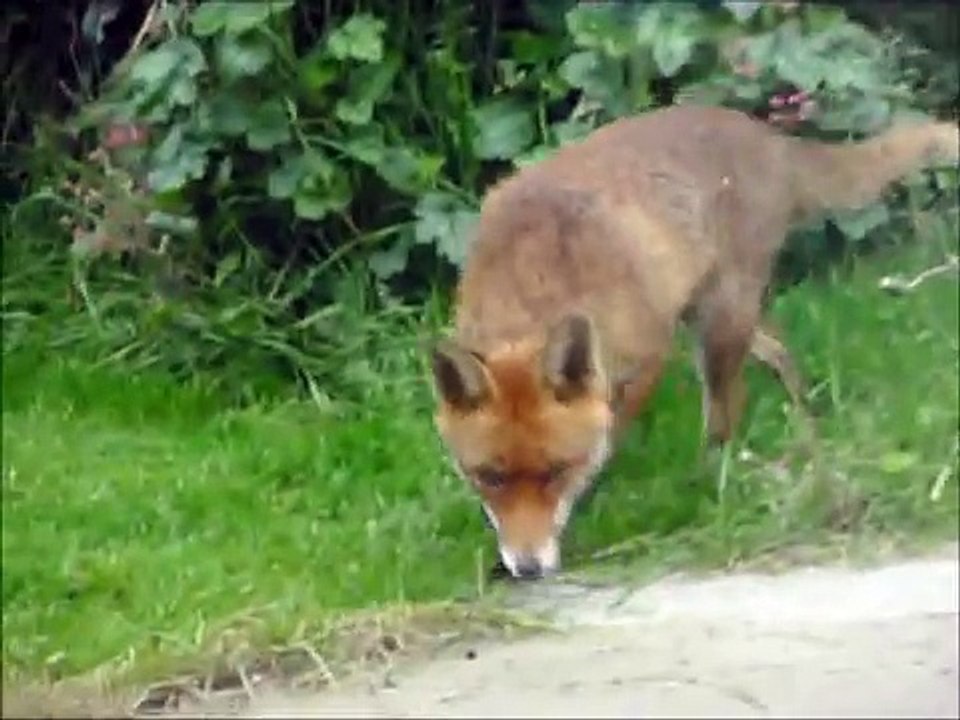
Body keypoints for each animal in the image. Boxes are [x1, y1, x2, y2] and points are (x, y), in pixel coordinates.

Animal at [429, 103, 959, 580]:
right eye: (489, 477)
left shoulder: (645, 360)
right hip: (716, 318)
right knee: (780, 354)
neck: (536, 279)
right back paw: (807, 427)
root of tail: (763, 134)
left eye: (557, 471)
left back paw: (713, 476)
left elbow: (605, 443)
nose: (528, 568)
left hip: (718, 325)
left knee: (726, 411)